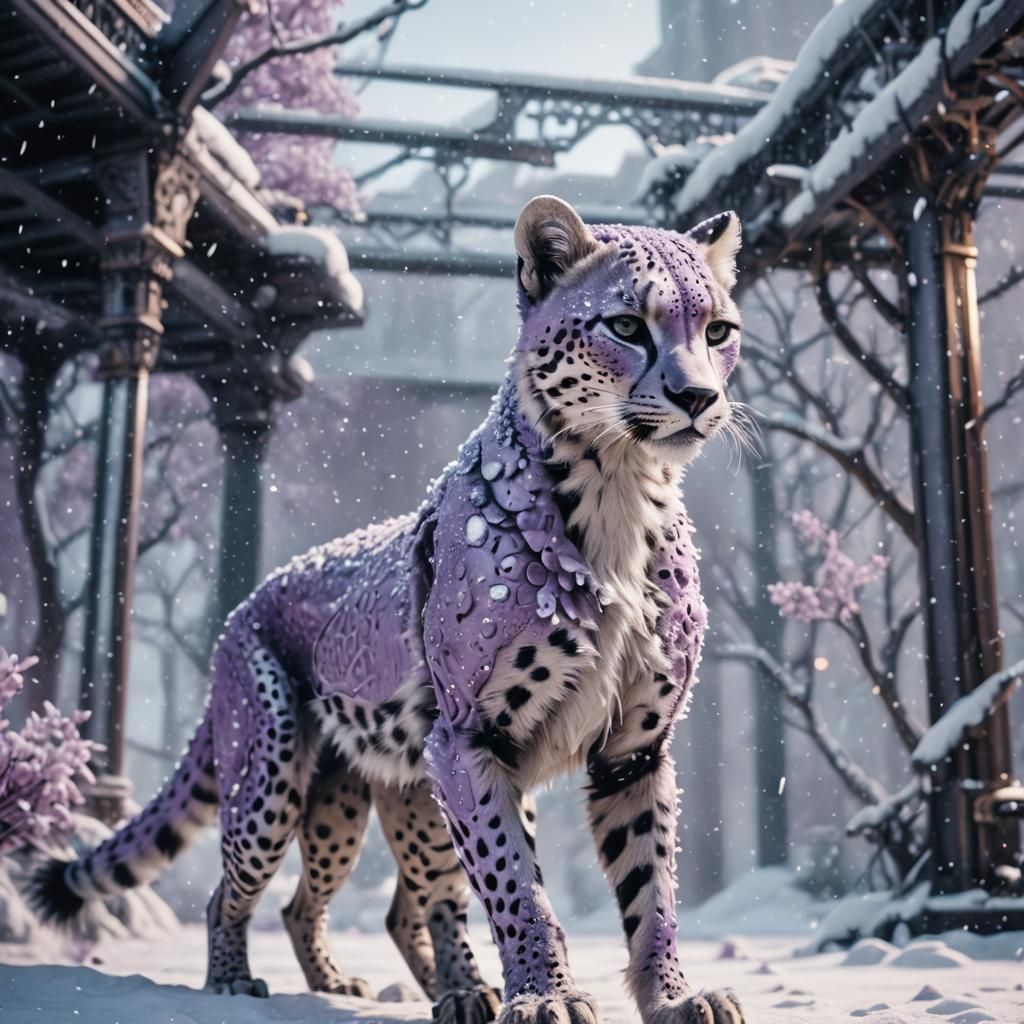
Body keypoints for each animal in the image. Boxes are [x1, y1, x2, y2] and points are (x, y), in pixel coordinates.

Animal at [32, 196, 747, 1024]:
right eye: (627, 325)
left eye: (718, 332)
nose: (698, 398)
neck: (620, 494)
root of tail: (248, 600)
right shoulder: (472, 738)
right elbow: (518, 887)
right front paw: (547, 996)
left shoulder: (635, 749)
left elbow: (650, 890)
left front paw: (674, 997)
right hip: (276, 770)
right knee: (237, 892)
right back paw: (239, 981)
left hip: (371, 798)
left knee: (371, 903)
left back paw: (439, 989)